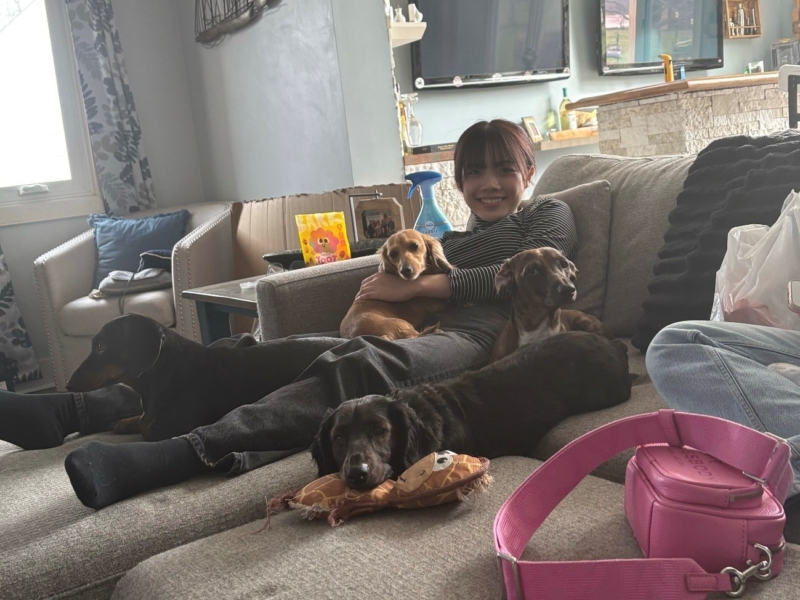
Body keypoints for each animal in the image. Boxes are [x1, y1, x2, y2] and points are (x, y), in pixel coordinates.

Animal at [67, 313, 292, 441]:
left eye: (100, 346)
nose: (68, 385)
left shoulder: (165, 431)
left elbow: (145, 427)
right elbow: (139, 419)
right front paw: (123, 423)